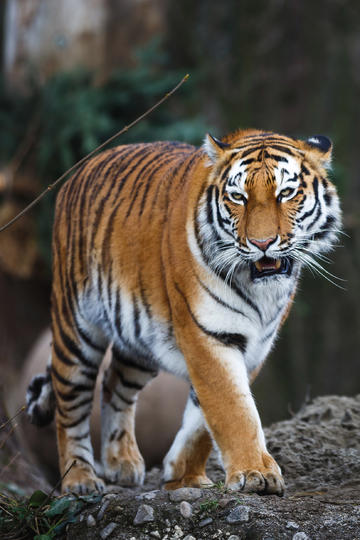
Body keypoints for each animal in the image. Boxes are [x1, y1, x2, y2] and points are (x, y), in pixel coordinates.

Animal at [26, 129, 342, 496]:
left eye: (286, 193)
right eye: (238, 197)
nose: (262, 243)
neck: (261, 291)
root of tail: (82, 168)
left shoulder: (255, 346)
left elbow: (203, 419)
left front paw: (184, 475)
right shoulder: (207, 334)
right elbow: (232, 409)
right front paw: (255, 474)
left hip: (138, 341)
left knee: (113, 384)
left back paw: (121, 463)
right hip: (76, 330)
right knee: (70, 407)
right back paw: (80, 479)